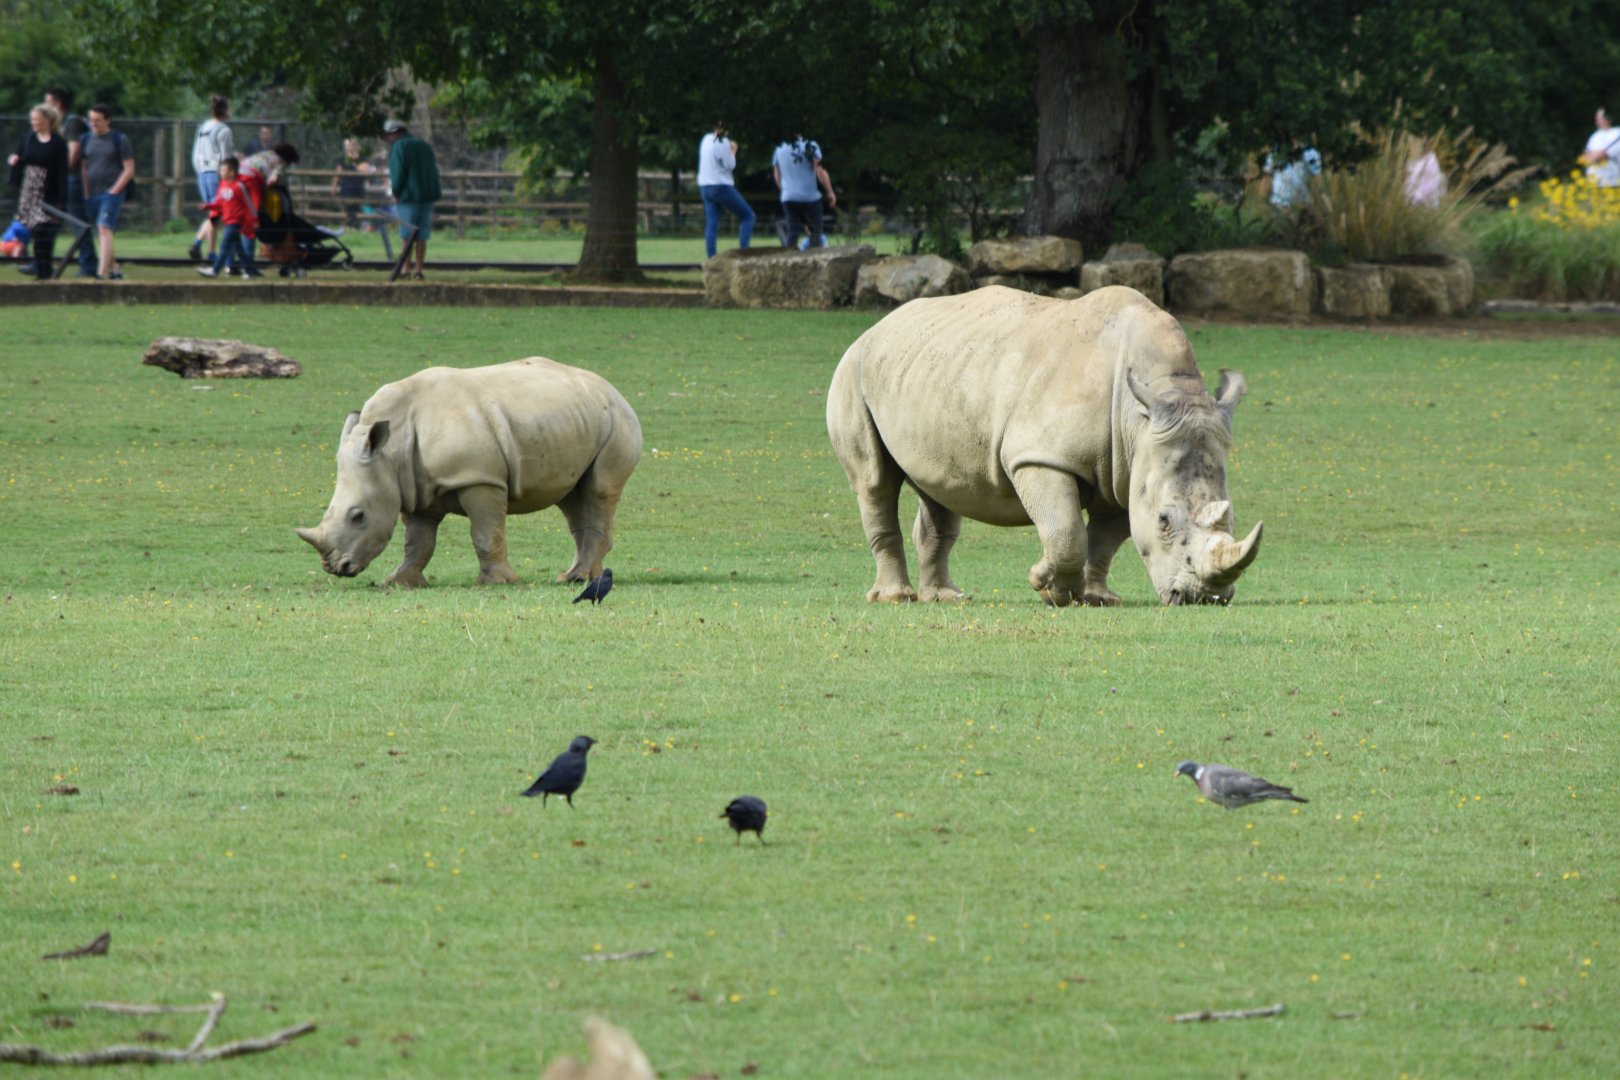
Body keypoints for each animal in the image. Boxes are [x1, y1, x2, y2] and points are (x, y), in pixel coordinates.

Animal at [297, 358, 641, 588]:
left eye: (358, 516)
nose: (334, 567)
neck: (392, 451)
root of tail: (611, 388)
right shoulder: (411, 486)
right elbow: (418, 541)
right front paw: (400, 582)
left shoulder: (479, 478)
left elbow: (485, 533)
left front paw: (497, 583)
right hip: (576, 417)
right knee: (572, 497)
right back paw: (571, 577)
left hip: (618, 421)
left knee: (599, 490)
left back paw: (580, 579)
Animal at [826, 285, 1262, 606]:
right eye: (1164, 521)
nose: (1204, 597)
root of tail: (877, 327)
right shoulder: (1042, 458)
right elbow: (1067, 531)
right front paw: (1050, 588)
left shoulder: (1127, 470)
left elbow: (1104, 540)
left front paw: (1097, 598)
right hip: (853, 369)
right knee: (874, 482)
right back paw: (895, 598)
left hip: (932, 371)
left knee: (941, 488)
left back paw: (946, 598)